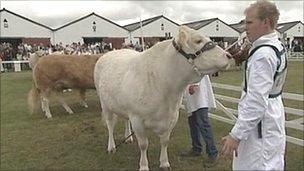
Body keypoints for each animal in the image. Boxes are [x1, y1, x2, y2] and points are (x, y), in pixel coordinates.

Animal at [94, 25, 229, 171]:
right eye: (198, 40)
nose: (228, 55)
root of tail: (110, 53)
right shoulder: (137, 119)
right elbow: (143, 145)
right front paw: (143, 165)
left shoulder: (171, 118)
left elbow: (164, 142)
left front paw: (164, 163)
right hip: (104, 103)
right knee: (110, 125)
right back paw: (111, 147)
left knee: (125, 120)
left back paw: (128, 137)